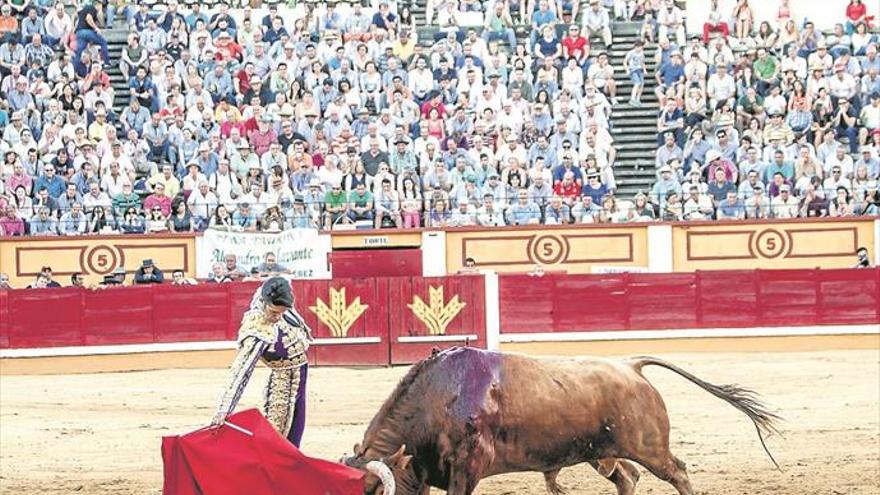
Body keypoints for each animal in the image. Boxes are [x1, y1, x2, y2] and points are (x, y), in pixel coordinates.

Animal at [340, 348, 780, 495]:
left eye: (371, 490)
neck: (440, 398)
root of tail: (630, 365)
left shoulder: (467, 469)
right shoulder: (427, 475)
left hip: (650, 446)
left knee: (678, 472)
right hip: (600, 452)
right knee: (628, 477)